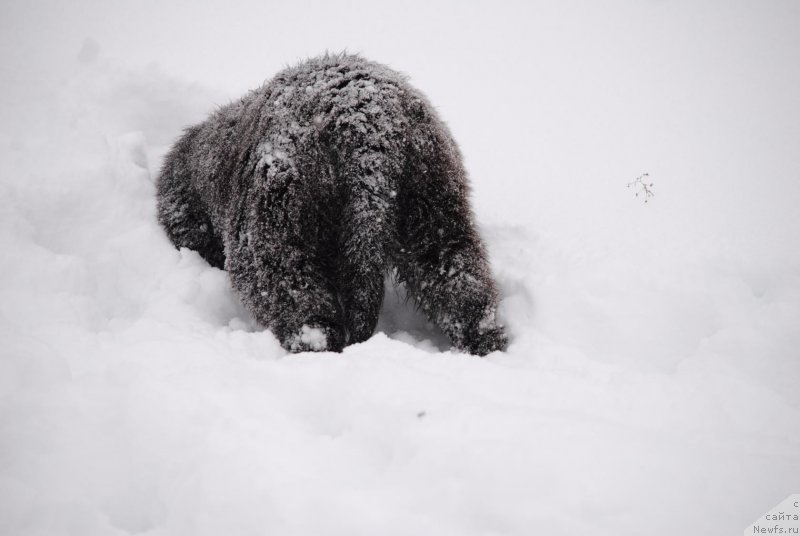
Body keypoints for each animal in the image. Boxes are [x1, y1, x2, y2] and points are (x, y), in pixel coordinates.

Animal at [156, 53, 506, 356]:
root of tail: (369, 135)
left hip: (278, 210)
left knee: (287, 283)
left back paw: (312, 344)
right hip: (431, 194)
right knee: (454, 271)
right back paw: (484, 337)